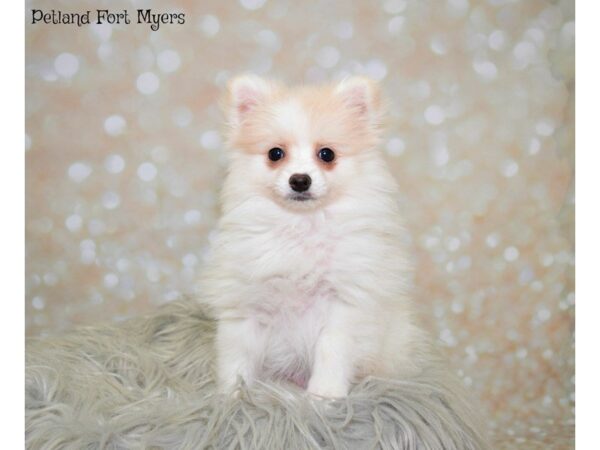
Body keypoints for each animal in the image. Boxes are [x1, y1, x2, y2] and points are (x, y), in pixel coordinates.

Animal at [202, 74, 432, 398]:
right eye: (275, 154)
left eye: (327, 154)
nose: (300, 180)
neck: (303, 225)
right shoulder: (246, 303)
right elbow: (237, 356)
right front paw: (233, 397)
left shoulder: (344, 303)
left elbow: (331, 350)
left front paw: (324, 395)